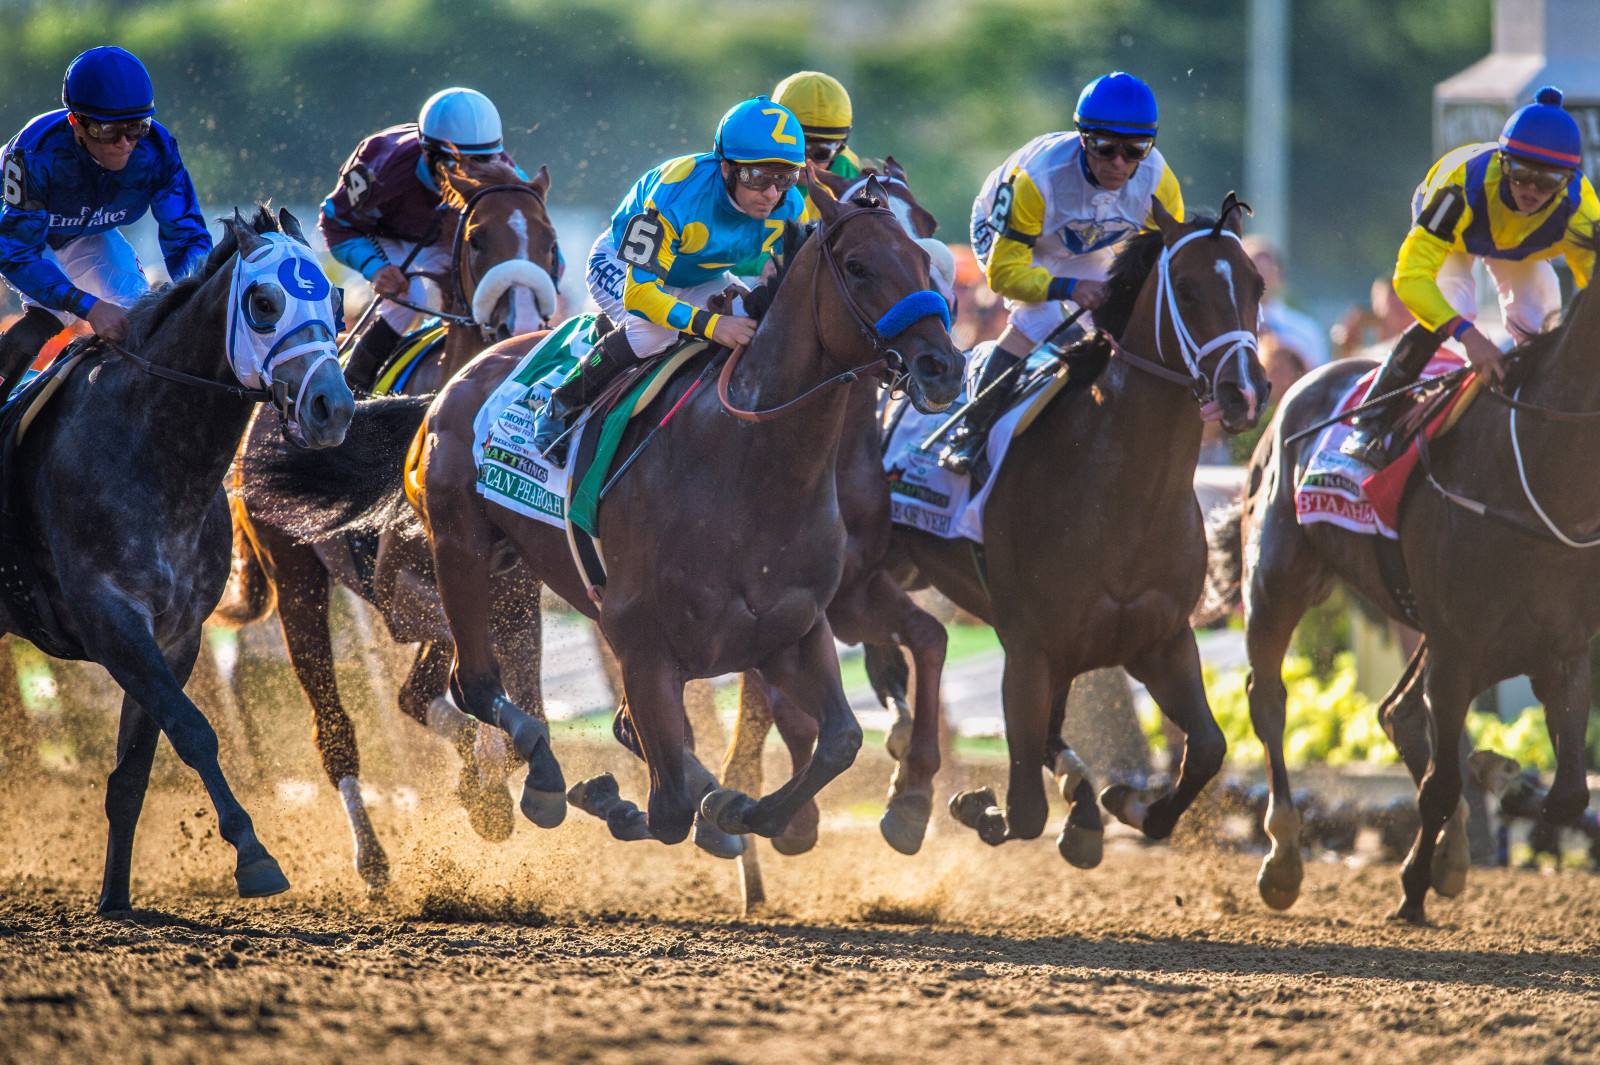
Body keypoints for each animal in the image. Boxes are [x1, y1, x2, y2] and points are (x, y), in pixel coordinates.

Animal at [211, 159, 563, 889]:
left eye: (549, 243)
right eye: (479, 240)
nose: (521, 324)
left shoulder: (517, 592)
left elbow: (497, 702)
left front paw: (488, 785)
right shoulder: (405, 592)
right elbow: (459, 688)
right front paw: (485, 780)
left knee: (407, 698)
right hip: (298, 580)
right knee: (334, 726)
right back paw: (371, 856)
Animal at [851, 201, 1260, 863]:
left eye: (1256, 285)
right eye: (1188, 288)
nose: (1246, 391)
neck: (1122, 495)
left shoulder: (1162, 639)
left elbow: (1206, 749)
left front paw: (1129, 804)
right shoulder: (1029, 649)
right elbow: (1024, 810)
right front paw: (978, 806)